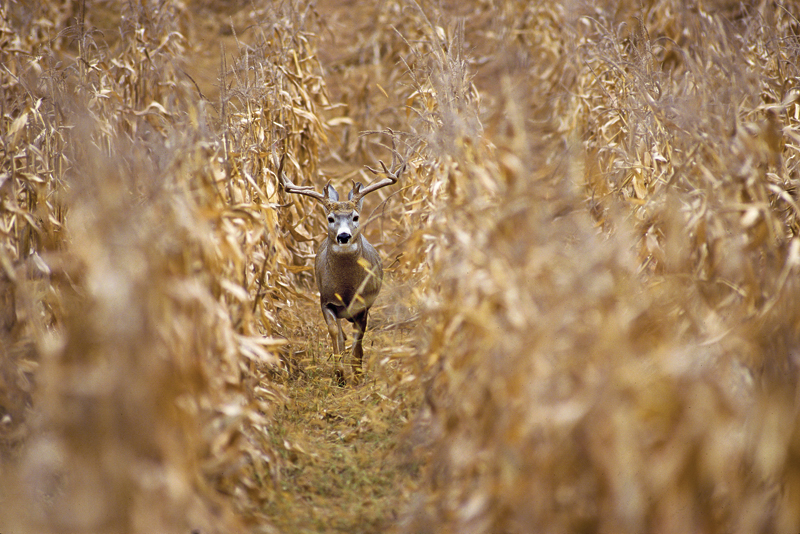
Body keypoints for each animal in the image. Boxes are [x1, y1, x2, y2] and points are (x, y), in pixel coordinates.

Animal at [278, 139, 405, 385]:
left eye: (355, 217)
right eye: (330, 218)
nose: (344, 236)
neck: (346, 289)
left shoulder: (364, 305)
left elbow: (359, 341)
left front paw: (357, 374)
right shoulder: (326, 300)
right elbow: (335, 333)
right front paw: (339, 375)